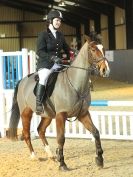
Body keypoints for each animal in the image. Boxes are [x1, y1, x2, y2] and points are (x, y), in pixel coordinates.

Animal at [8, 34, 110, 171]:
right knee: (26, 133)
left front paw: (99, 159)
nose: (105, 70)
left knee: (40, 130)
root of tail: (22, 80)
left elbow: (96, 132)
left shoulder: (83, 114)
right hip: (26, 113)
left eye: (103, 49)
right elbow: (61, 138)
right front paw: (62, 163)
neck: (74, 83)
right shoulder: (61, 115)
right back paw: (34, 156)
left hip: (47, 115)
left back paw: (51, 155)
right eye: (93, 50)